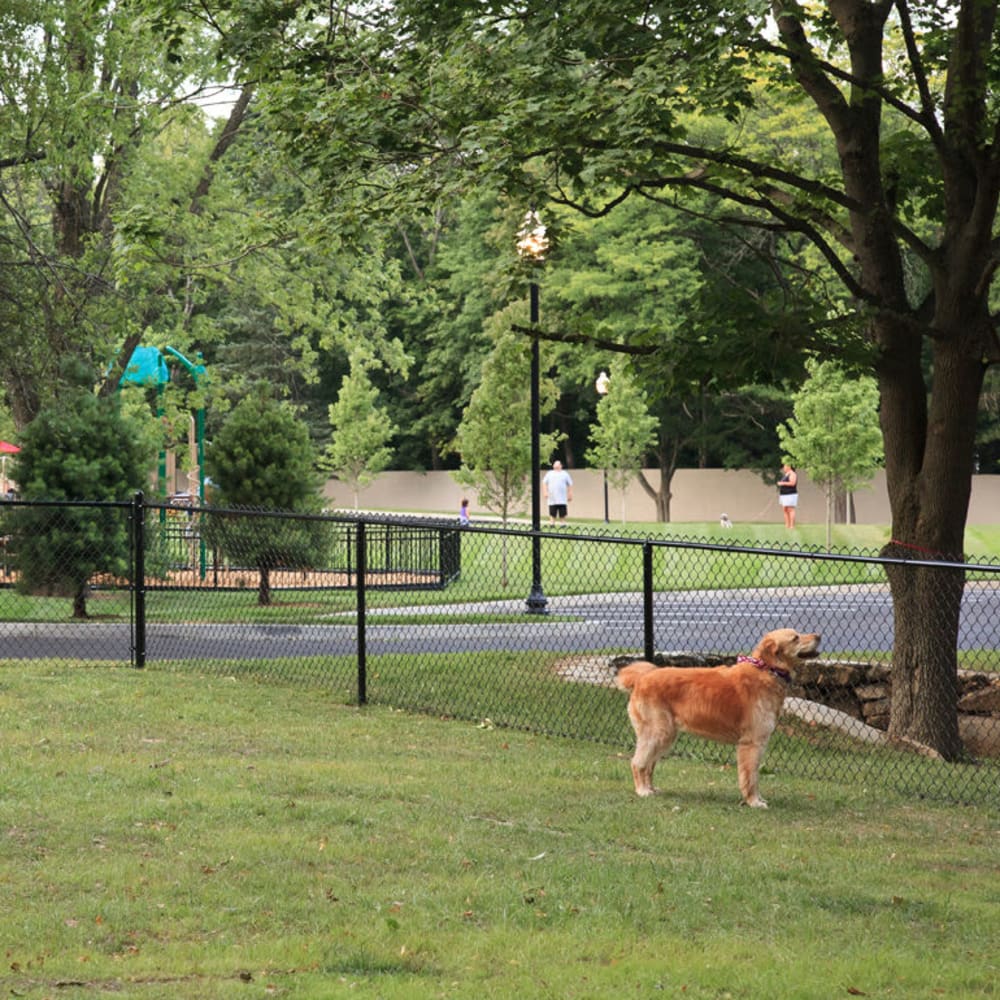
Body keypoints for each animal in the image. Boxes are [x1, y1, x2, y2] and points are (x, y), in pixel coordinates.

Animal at [616, 628, 820, 808]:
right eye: (795, 638)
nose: (819, 636)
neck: (767, 670)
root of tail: (643, 677)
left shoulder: (758, 743)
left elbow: (754, 776)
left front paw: (757, 799)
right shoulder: (751, 743)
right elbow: (751, 777)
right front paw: (753, 802)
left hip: (665, 736)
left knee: (649, 764)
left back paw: (651, 788)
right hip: (657, 733)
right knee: (638, 763)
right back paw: (642, 791)